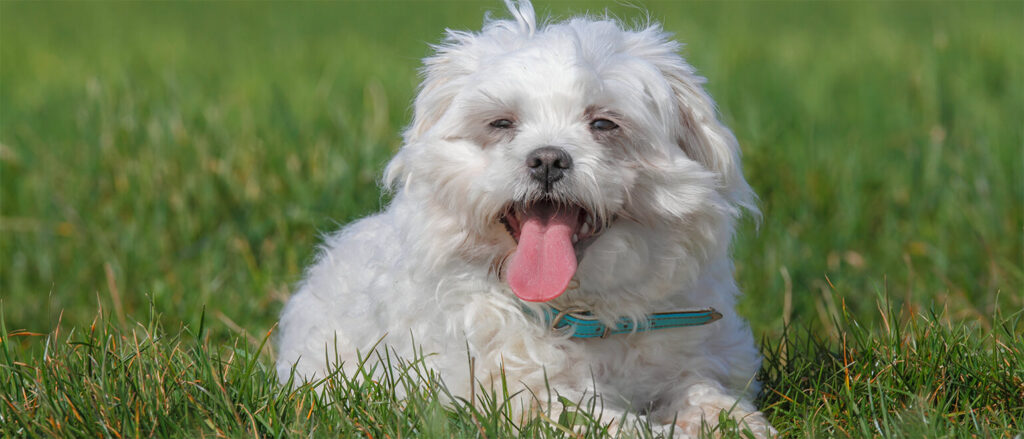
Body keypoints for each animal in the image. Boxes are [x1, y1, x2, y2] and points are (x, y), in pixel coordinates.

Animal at [276, 1, 770, 433]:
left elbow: (706, 393)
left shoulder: (697, 356)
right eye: (501, 123)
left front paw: (735, 424)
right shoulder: (523, 398)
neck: (580, 315)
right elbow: (607, 423)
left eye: (603, 123)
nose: (548, 159)